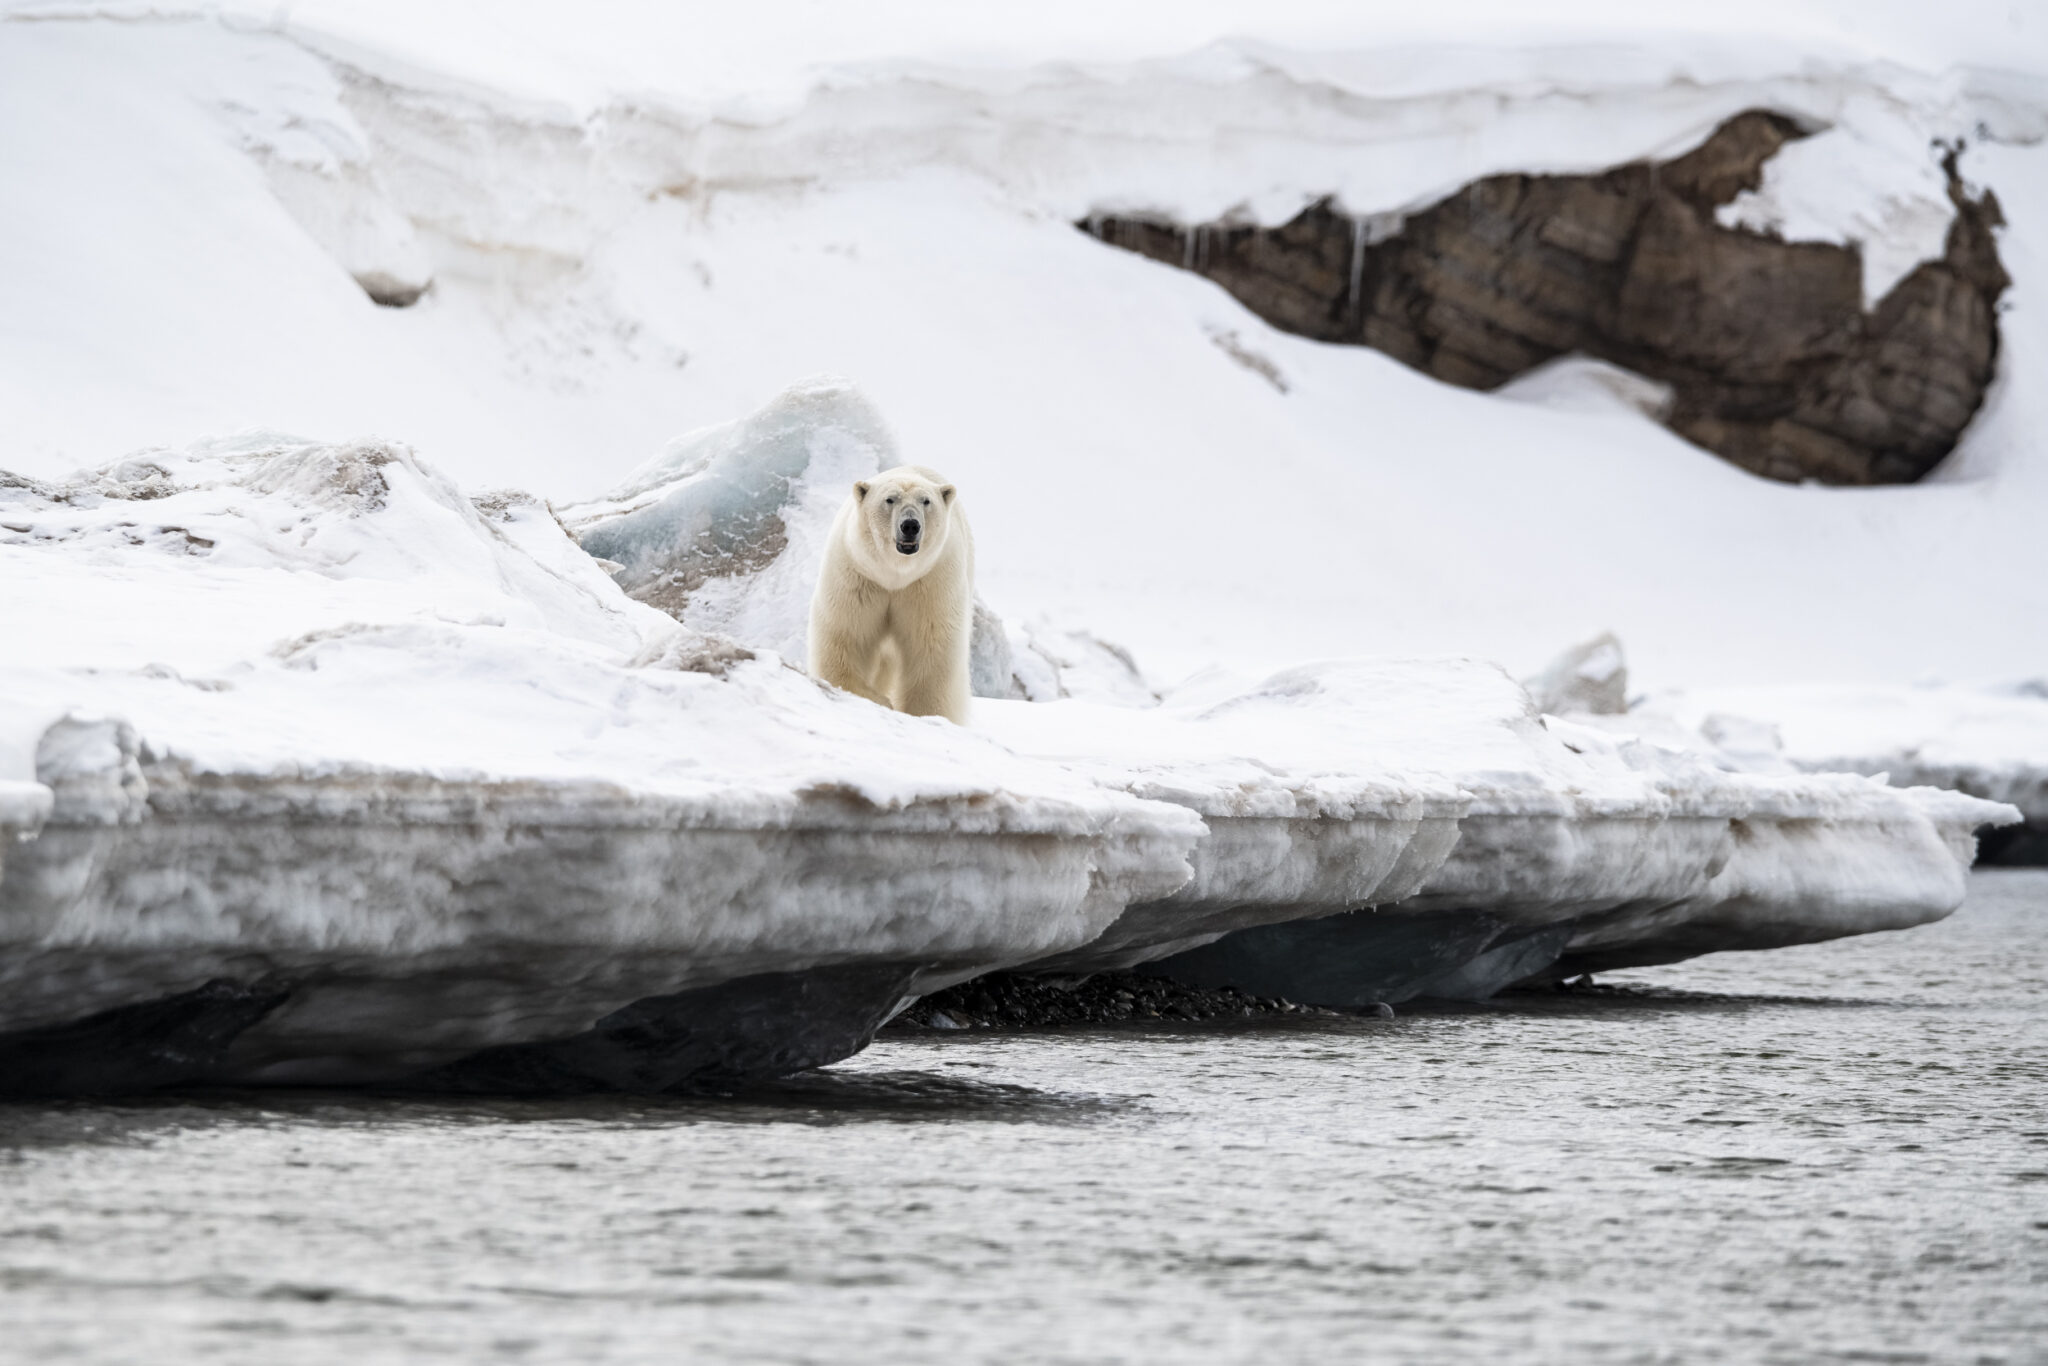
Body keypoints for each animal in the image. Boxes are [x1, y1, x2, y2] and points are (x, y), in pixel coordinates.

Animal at [806, 464, 974, 724]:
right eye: (890, 499)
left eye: (926, 501)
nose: (910, 525)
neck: (894, 575)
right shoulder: (858, 576)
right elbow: (846, 637)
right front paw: (880, 700)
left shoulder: (931, 582)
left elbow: (931, 647)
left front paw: (925, 713)